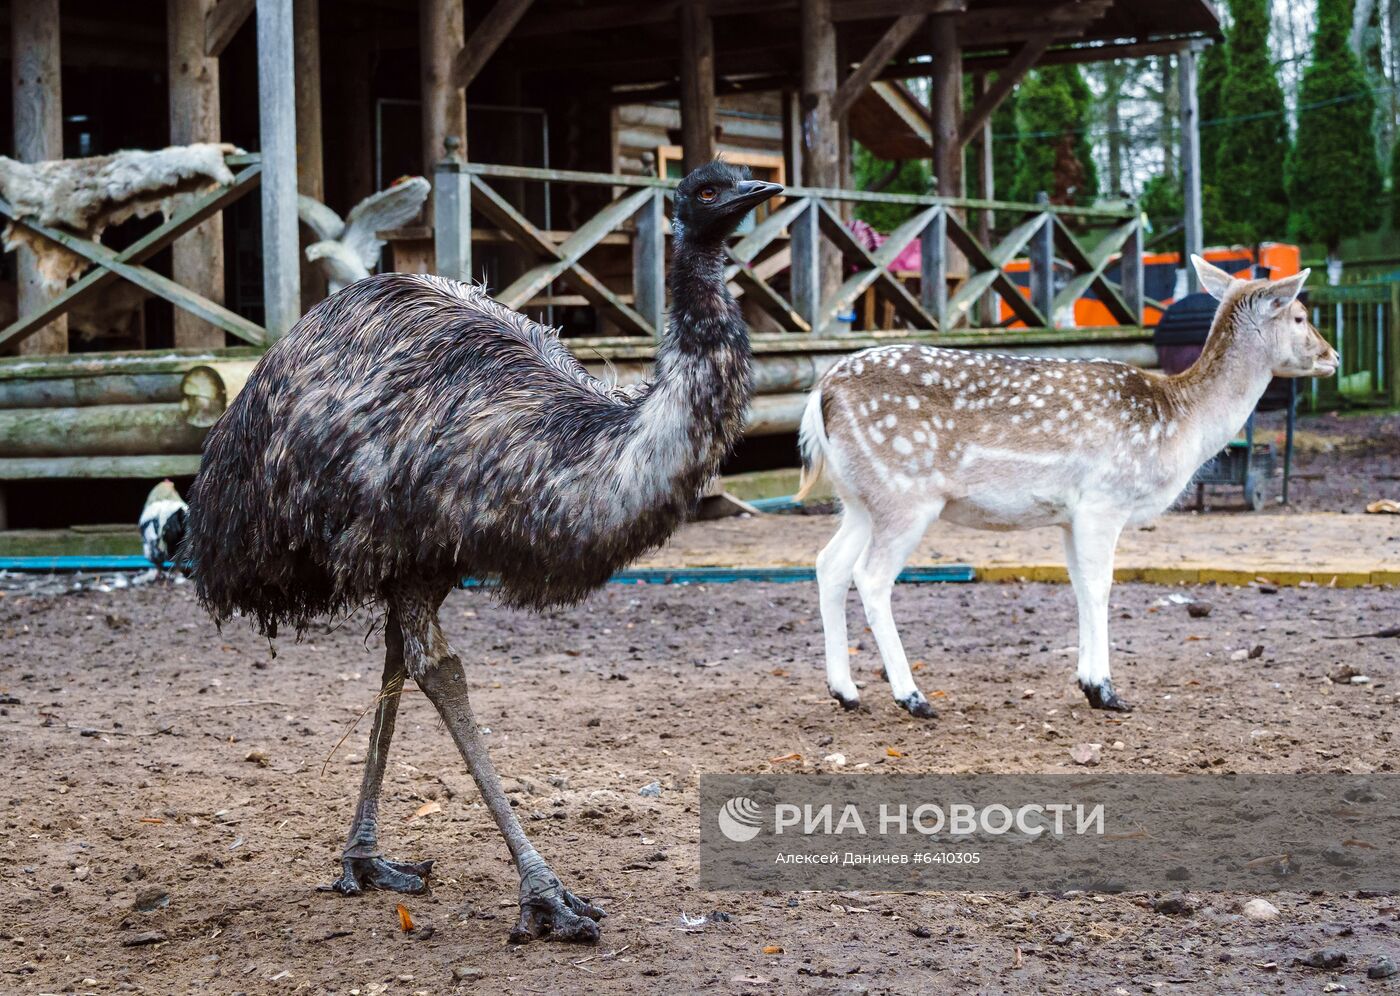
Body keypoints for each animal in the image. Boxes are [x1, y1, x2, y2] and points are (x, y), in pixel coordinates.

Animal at [800, 254, 1332, 717]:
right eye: (1301, 315)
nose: (1332, 355)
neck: (1181, 421)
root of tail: (819, 394)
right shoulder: (1105, 499)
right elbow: (1100, 584)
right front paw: (1107, 690)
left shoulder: (1070, 515)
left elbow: (1078, 584)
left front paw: (1088, 684)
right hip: (905, 495)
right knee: (871, 577)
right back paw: (913, 697)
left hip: (858, 499)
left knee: (829, 564)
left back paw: (846, 692)